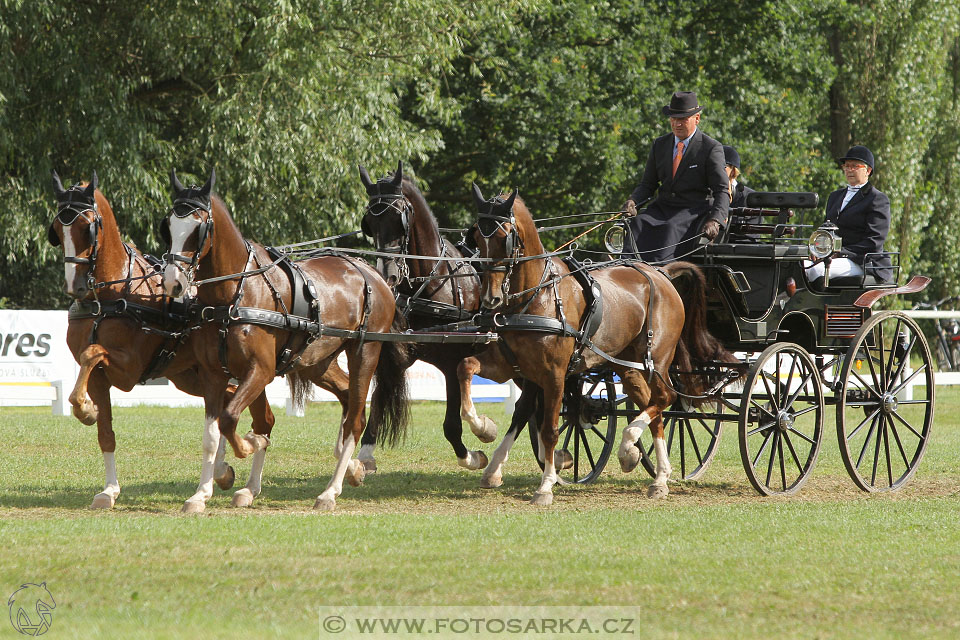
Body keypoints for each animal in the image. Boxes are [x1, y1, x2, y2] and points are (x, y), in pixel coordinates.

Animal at [47, 170, 274, 510]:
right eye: (58, 231)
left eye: (88, 227)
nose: (76, 286)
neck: (110, 295)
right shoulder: (100, 378)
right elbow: (105, 433)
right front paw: (109, 490)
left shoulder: (128, 370)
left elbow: (93, 351)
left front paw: (86, 410)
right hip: (189, 376)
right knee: (227, 401)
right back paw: (223, 470)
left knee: (260, 418)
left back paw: (245, 475)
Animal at [162, 169, 408, 510]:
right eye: (168, 227)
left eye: (198, 229)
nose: (172, 282)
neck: (237, 294)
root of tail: (371, 273)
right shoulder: (214, 374)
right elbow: (213, 434)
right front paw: (202, 494)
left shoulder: (260, 371)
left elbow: (232, 419)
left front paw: (250, 444)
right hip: (317, 361)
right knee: (348, 399)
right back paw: (352, 468)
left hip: (365, 351)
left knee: (356, 418)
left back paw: (330, 491)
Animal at [462, 185, 732, 504]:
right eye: (477, 237)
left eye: (505, 238)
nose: (490, 299)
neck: (537, 295)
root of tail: (662, 274)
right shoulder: (514, 366)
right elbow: (477, 376)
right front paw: (484, 436)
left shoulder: (554, 375)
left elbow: (549, 429)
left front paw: (545, 486)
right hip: (628, 366)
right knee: (653, 407)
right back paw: (657, 475)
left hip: (657, 360)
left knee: (666, 398)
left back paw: (630, 445)